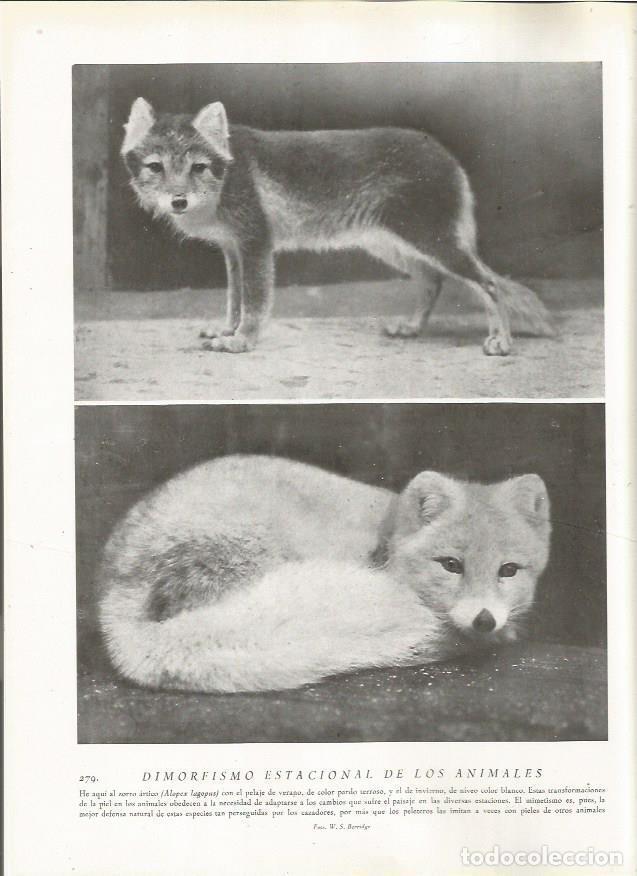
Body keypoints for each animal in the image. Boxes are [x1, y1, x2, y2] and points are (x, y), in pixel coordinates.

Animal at [120, 98, 554, 356]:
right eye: (156, 167)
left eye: (198, 167)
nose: (178, 201)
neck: (227, 175)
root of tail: (445, 154)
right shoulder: (233, 251)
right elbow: (234, 301)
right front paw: (226, 331)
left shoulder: (257, 246)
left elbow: (254, 304)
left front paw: (242, 340)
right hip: (399, 249)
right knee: (434, 282)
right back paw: (412, 328)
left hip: (431, 244)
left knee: (489, 283)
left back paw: (502, 341)